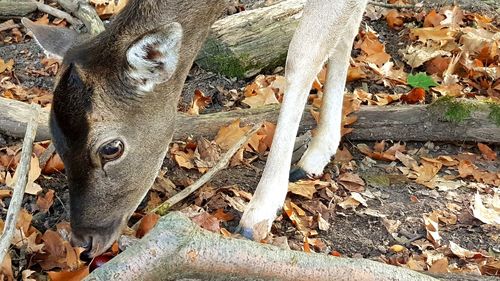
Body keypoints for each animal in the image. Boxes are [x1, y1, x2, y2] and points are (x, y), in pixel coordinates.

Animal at [22, 0, 368, 258]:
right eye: (56, 142)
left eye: (111, 148)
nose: (84, 241)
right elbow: (346, 29)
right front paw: (321, 149)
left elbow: (302, 57)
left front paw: (258, 214)